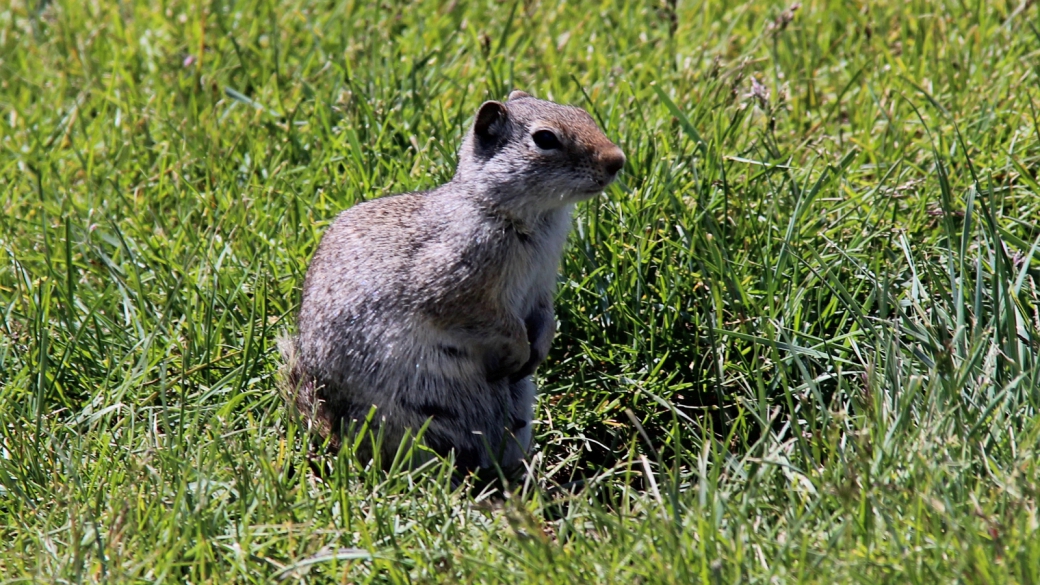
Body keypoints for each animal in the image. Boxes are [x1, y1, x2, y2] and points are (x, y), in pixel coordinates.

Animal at [280, 92, 624, 474]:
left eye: (582, 113)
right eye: (545, 138)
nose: (617, 160)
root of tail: (335, 436)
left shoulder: (541, 285)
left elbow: (545, 315)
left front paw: (540, 348)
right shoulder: (454, 286)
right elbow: (492, 322)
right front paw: (519, 349)